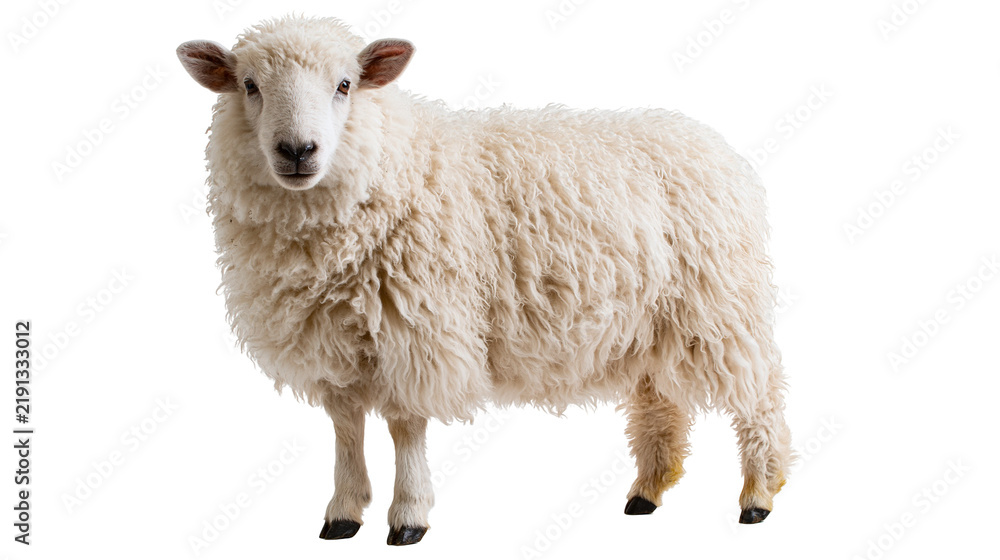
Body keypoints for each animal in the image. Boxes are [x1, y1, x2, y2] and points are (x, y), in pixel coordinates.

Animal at [177, 15, 793, 546]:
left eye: (345, 85)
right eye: (249, 86)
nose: (298, 151)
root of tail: (717, 147)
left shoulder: (417, 327)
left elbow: (405, 426)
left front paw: (409, 516)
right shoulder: (335, 343)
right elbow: (346, 426)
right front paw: (343, 512)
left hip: (720, 305)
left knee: (759, 395)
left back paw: (759, 495)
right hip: (652, 319)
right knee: (659, 400)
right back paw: (647, 493)